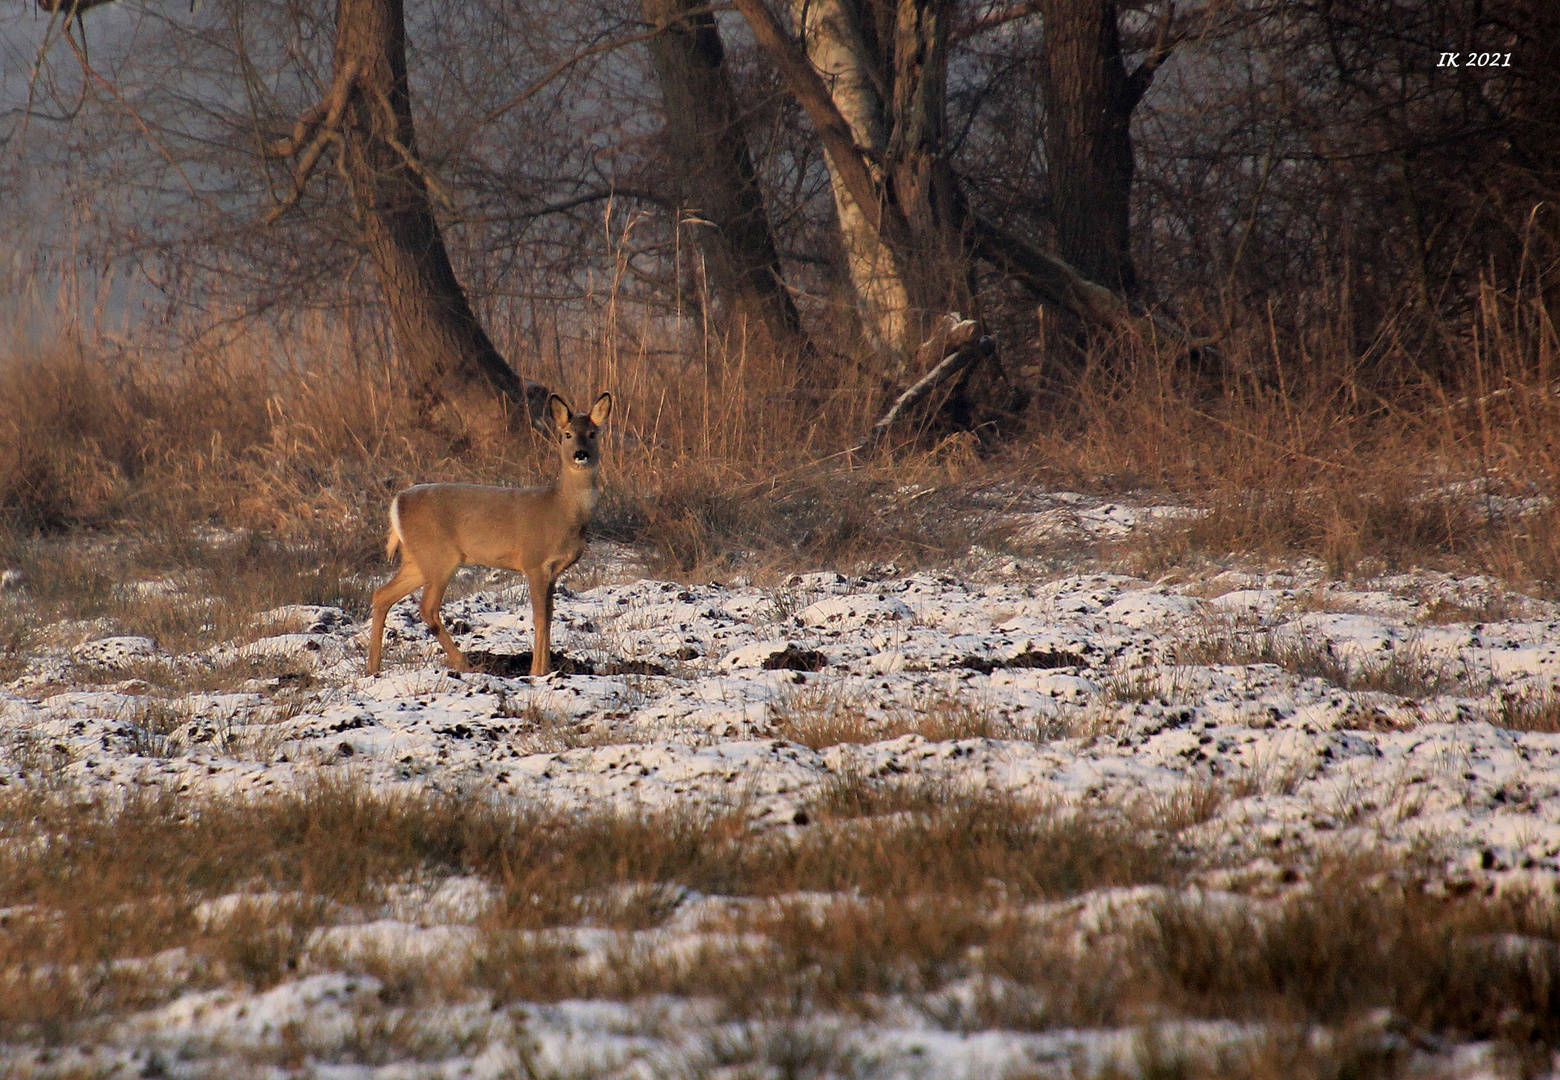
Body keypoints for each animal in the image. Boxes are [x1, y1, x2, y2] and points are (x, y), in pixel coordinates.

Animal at [363, 388, 608, 674]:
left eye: (593, 433)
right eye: (567, 434)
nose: (580, 454)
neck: (561, 509)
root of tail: (396, 504)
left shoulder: (554, 571)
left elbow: (549, 616)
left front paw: (544, 669)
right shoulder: (534, 561)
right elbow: (540, 617)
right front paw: (537, 671)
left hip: (418, 560)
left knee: (382, 595)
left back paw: (373, 668)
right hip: (439, 556)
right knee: (427, 608)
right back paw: (463, 664)